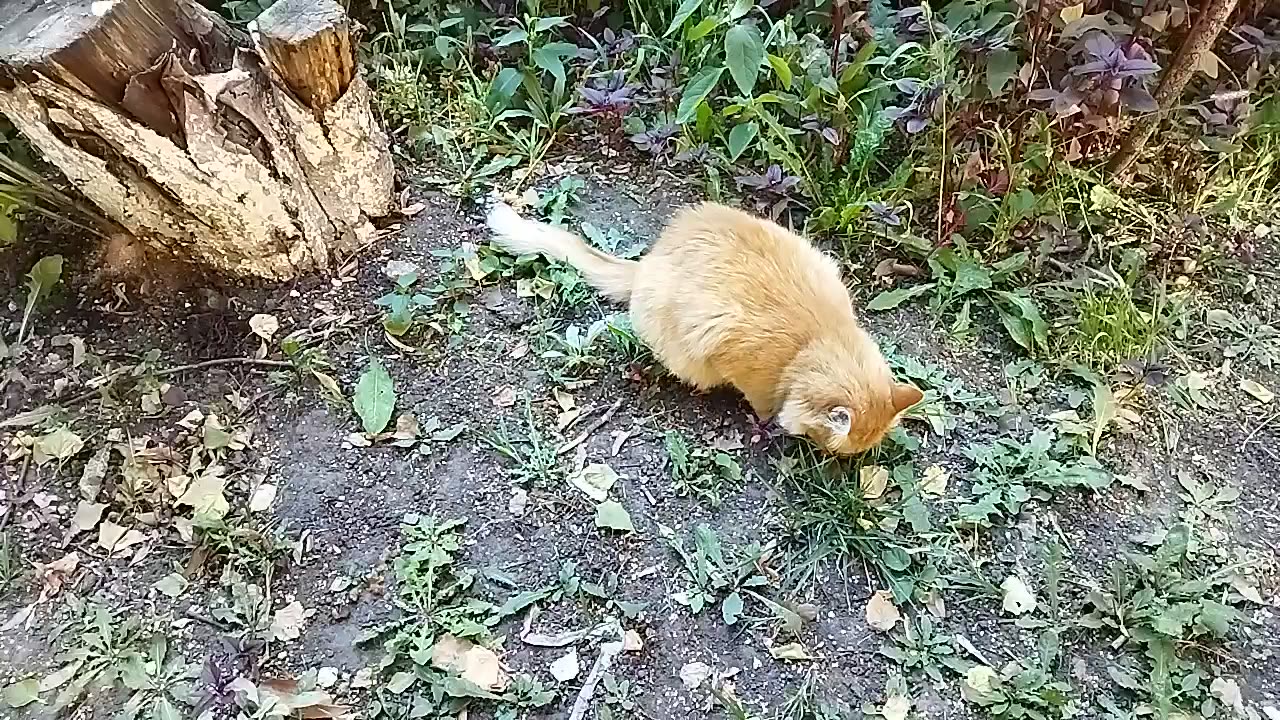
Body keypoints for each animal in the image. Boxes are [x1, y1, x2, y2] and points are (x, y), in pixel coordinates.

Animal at [486, 198, 921, 450]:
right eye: (832, 447)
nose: (831, 462)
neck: (815, 342)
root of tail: (647, 263)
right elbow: (763, 404)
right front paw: (767, 421)